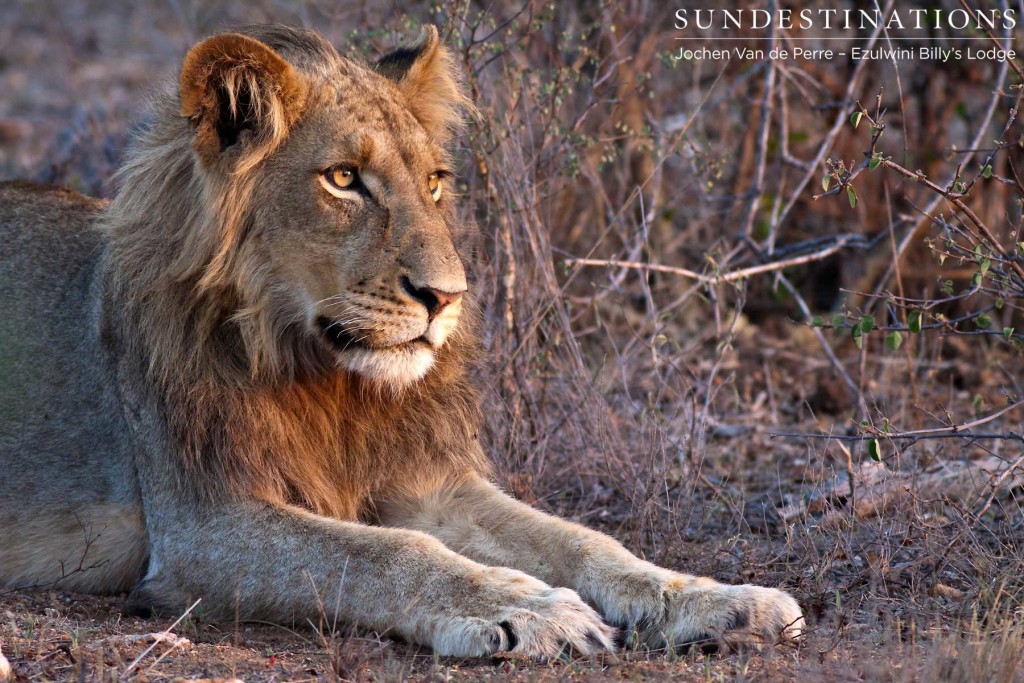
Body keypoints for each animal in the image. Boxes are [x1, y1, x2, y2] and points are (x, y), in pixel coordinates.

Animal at [0, 24, 798, 659]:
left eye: (436, 182)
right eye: (344, 178)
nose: (447, 297)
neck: (328, 379)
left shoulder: (426, 480)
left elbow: (579, 538)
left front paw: (713, 598)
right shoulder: (204, 525)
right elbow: (384, 552)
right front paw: (527, 607)